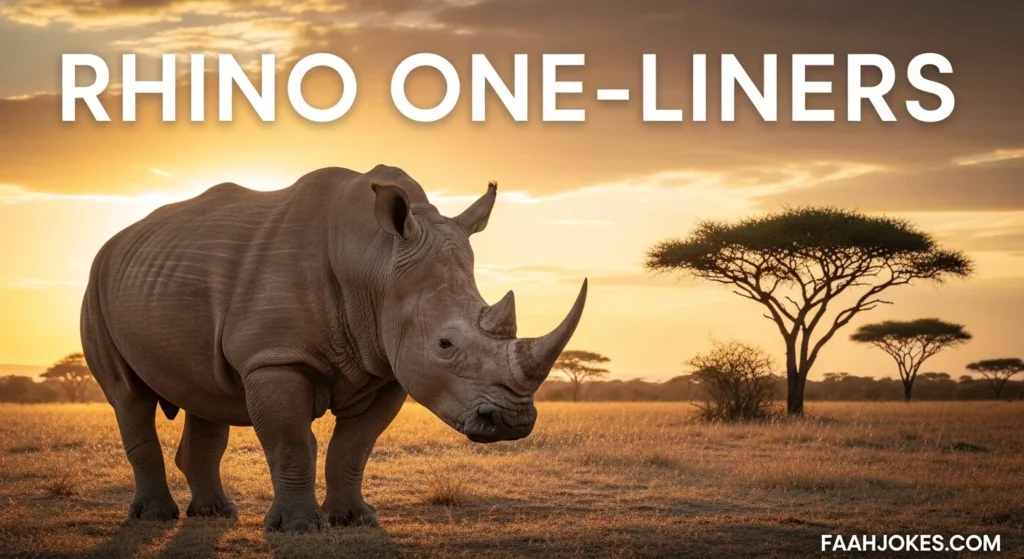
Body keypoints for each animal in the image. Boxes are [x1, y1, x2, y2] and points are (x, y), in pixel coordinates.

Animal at [81, 165, 587, 532]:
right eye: (445, 344)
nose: (512, 422)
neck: (376, 261)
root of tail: (117, 241)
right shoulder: (275, 358)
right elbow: (289, 442)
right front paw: (299, 528)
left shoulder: (387, 365)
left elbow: (354, 447)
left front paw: (355, 520)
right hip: (97, 283)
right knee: (128, 396)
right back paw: (155, 517)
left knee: (204, 393)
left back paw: (215, 514)